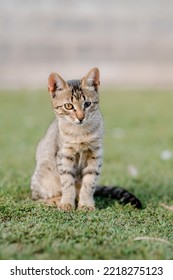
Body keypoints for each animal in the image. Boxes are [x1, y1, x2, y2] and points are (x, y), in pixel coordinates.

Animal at [30, 68, 142, 210]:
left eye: (87, 104)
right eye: (68, 106)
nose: (80, 117)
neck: (81, 133)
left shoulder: (95, 155)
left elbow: (89, 183)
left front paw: (86, 204)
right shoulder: (64, 155)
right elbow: (67, 183)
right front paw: (67, 203)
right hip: (44, 177)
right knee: (36, 198)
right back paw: (56, 200)